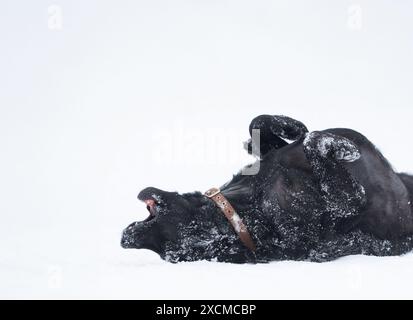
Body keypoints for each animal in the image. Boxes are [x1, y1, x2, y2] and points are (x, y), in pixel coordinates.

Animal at [120, 115, 412, 262]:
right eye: (166, 250)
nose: (125, 238)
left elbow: (259, 122)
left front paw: (294, 128)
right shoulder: (347, 201)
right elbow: (314, 141)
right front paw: (341, 147)